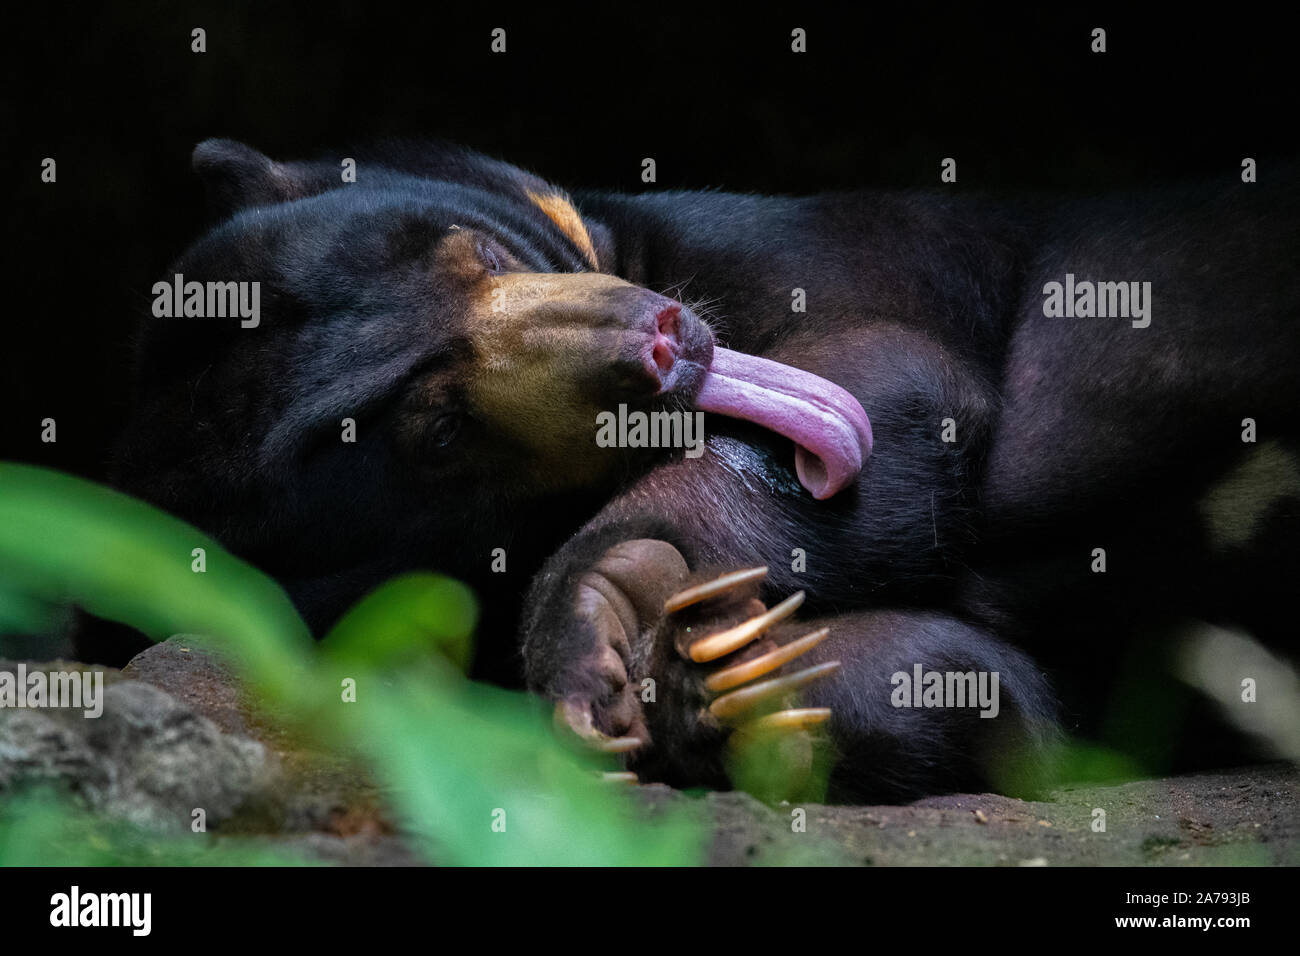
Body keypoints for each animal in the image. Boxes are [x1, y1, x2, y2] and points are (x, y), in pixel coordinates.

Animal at [114, 140, 1300, 801]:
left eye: (479, 256)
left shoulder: (847, 258)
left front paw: (615, 600)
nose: (659, 343)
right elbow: (992, 692)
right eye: (439, 428)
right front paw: (733, 688)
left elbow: (893, 373)